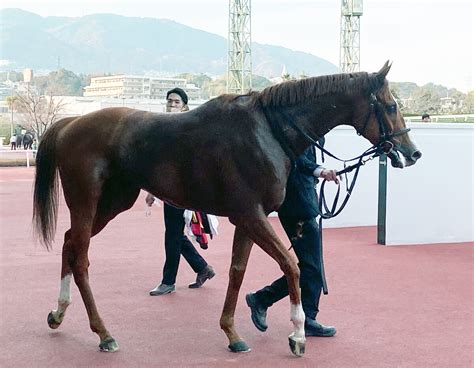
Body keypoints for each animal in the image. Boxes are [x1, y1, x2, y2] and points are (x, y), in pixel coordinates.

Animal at [31, 62, 420, 356]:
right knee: (81, 256)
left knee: (69, 242)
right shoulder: (251, 215)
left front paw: (232, 333)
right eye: (391, 106)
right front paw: (296, 334)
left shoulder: (248, 219)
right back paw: (103, 332)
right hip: (86, 202)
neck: (268, 129)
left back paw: (58, 313)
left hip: (114, 202)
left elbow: (238, 271)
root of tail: (69, 123)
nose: (412, 152)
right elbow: (291, 265)